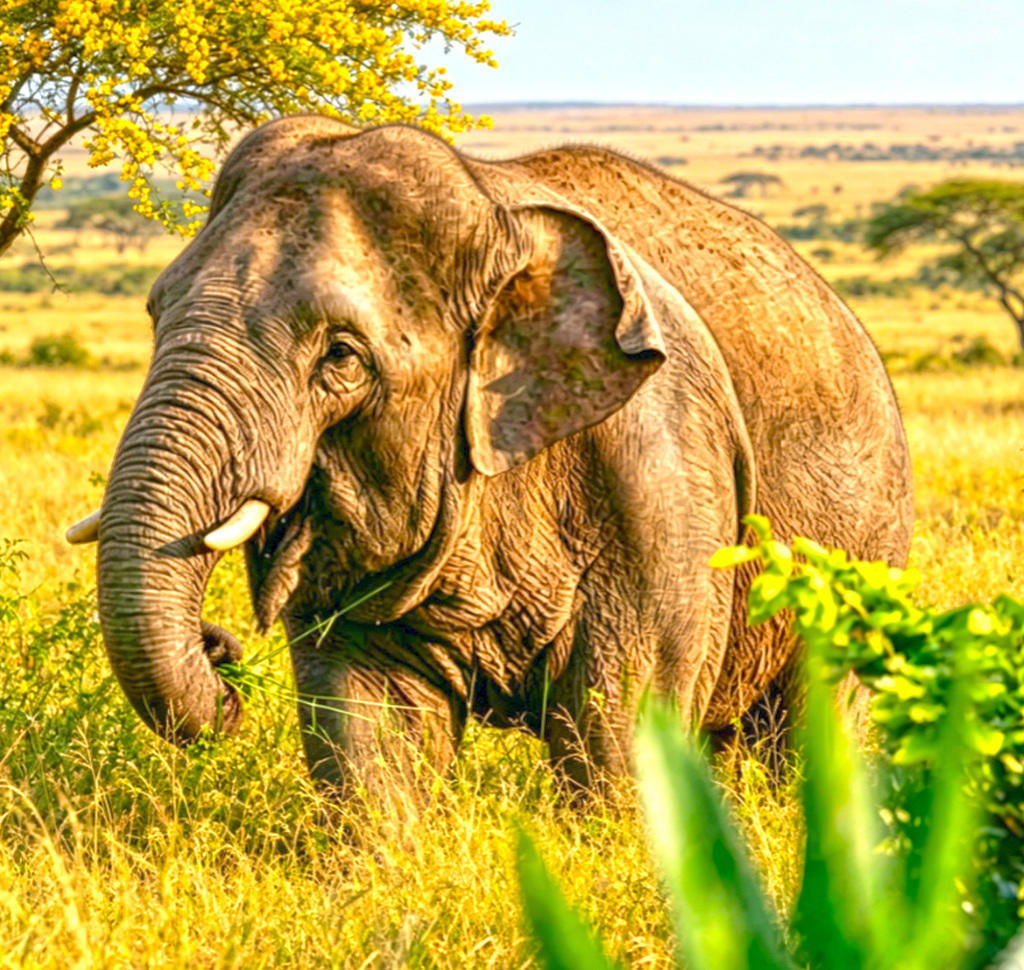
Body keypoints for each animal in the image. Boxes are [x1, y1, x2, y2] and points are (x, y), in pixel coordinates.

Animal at [67, 115, 913, 798]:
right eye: (155, 312)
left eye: (340, 356)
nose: (224, 654)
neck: (492, 211)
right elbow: (368, 713)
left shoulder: (662, 459)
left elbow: (622, 715)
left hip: (866, 538)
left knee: (813, 713)